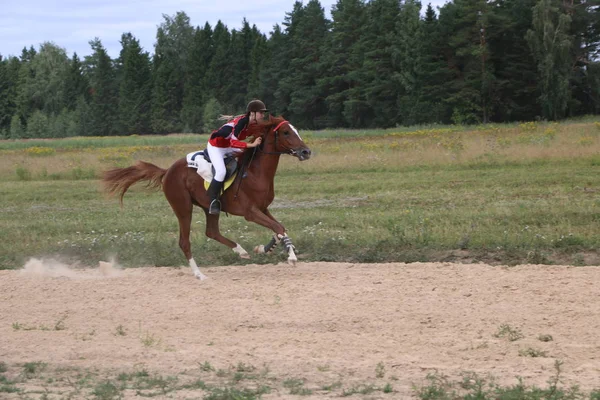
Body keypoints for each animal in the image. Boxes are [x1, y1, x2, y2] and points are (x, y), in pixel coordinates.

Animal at [101, 114, 312, 280]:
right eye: (286, 132)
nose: (306, 151)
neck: (255, 172)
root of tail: (167, 171)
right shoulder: (250, 212)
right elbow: (278, 227)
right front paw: (291, 257)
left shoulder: (263, 208)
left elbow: (279, 228)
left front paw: (266, 248)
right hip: (183, 208)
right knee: (185, 242)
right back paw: (199, 274)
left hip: (210, 207)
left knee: (211, 231)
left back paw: (241, 251)